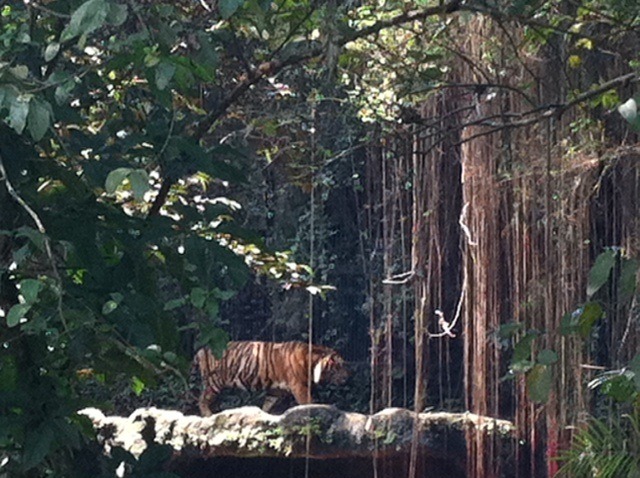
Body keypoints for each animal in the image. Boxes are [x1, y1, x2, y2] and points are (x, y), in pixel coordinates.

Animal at [194, 340, 348, 414]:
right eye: (339, 366)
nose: (348, 377)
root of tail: (202, 349)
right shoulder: (299, 387)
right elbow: (307, 402)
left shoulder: (276, 390)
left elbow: (267, 405)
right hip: (215, 381)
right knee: (202, 399)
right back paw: (208, 415)